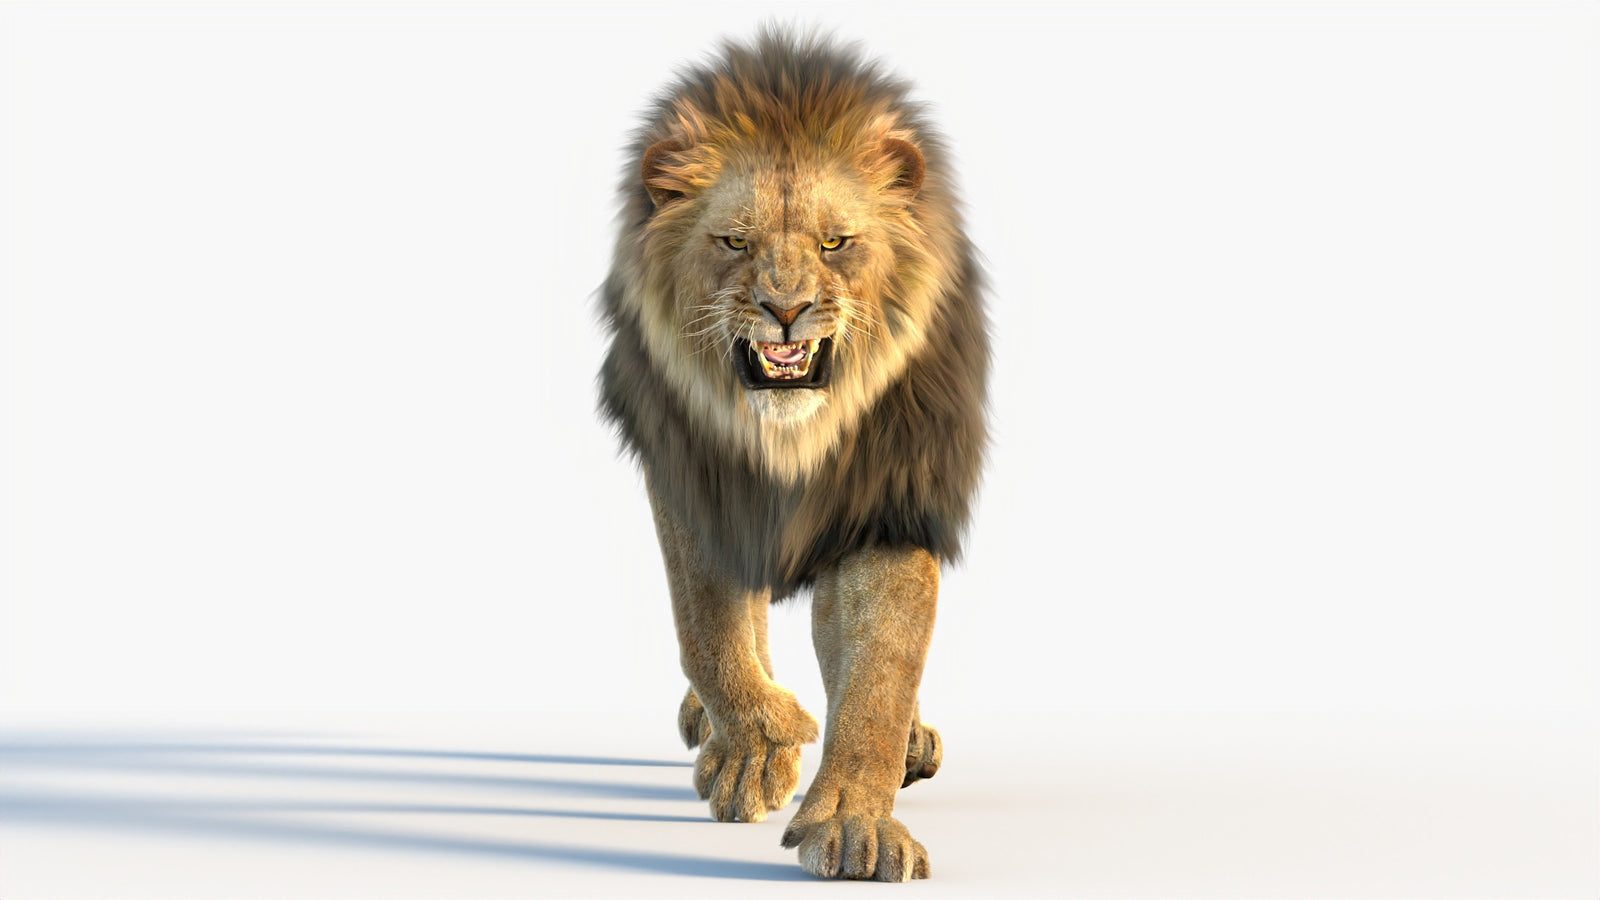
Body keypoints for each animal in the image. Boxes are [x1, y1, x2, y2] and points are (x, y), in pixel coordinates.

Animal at [597, 29, 987, 881]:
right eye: (734, 241)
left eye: (835, 243)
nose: (785, 309)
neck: (786, 436)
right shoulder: (693, 472)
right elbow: (707, 627)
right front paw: (760, 741)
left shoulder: (886, 494)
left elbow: (879, 672)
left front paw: (854, 823)